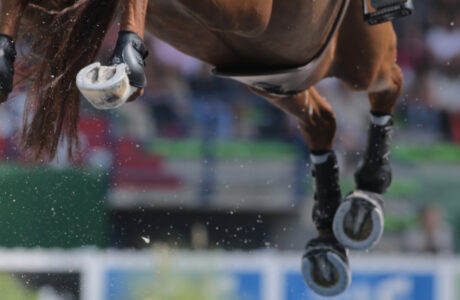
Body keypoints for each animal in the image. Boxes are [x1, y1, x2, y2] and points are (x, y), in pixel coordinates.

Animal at [0, 0, 406, 296]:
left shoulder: (249, 10)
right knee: (321, 118)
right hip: (277, 78)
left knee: (391, 80)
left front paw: (126, 60)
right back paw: (327, 241)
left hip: (357, 55)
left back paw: (366, 196)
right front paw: (5, 60)